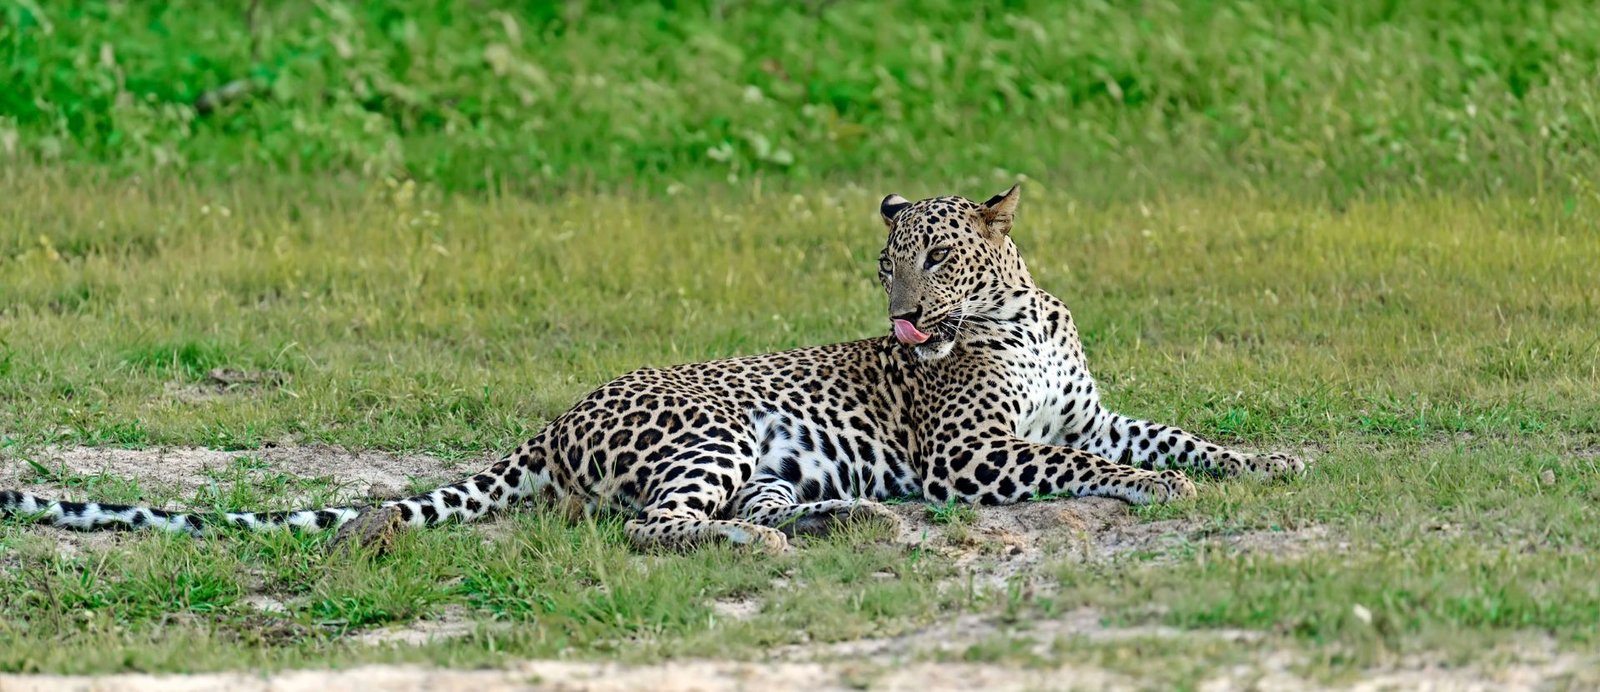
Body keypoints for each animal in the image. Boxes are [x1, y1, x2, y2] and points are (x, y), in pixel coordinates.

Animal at [0, 184, 1299, 551]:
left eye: (932, 256)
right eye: (884, 265)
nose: (902, 317)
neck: (1018, 315)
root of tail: (556, 415)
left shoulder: (1086, 410)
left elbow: (1162, 432)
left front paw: (1263, 461)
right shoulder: (966, 451)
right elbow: (1072, 461)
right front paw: (1153, 489)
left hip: (766, 454)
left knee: (735, 506)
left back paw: (840, 519)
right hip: (715, 430)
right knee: (652, 525)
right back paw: (782, 538)